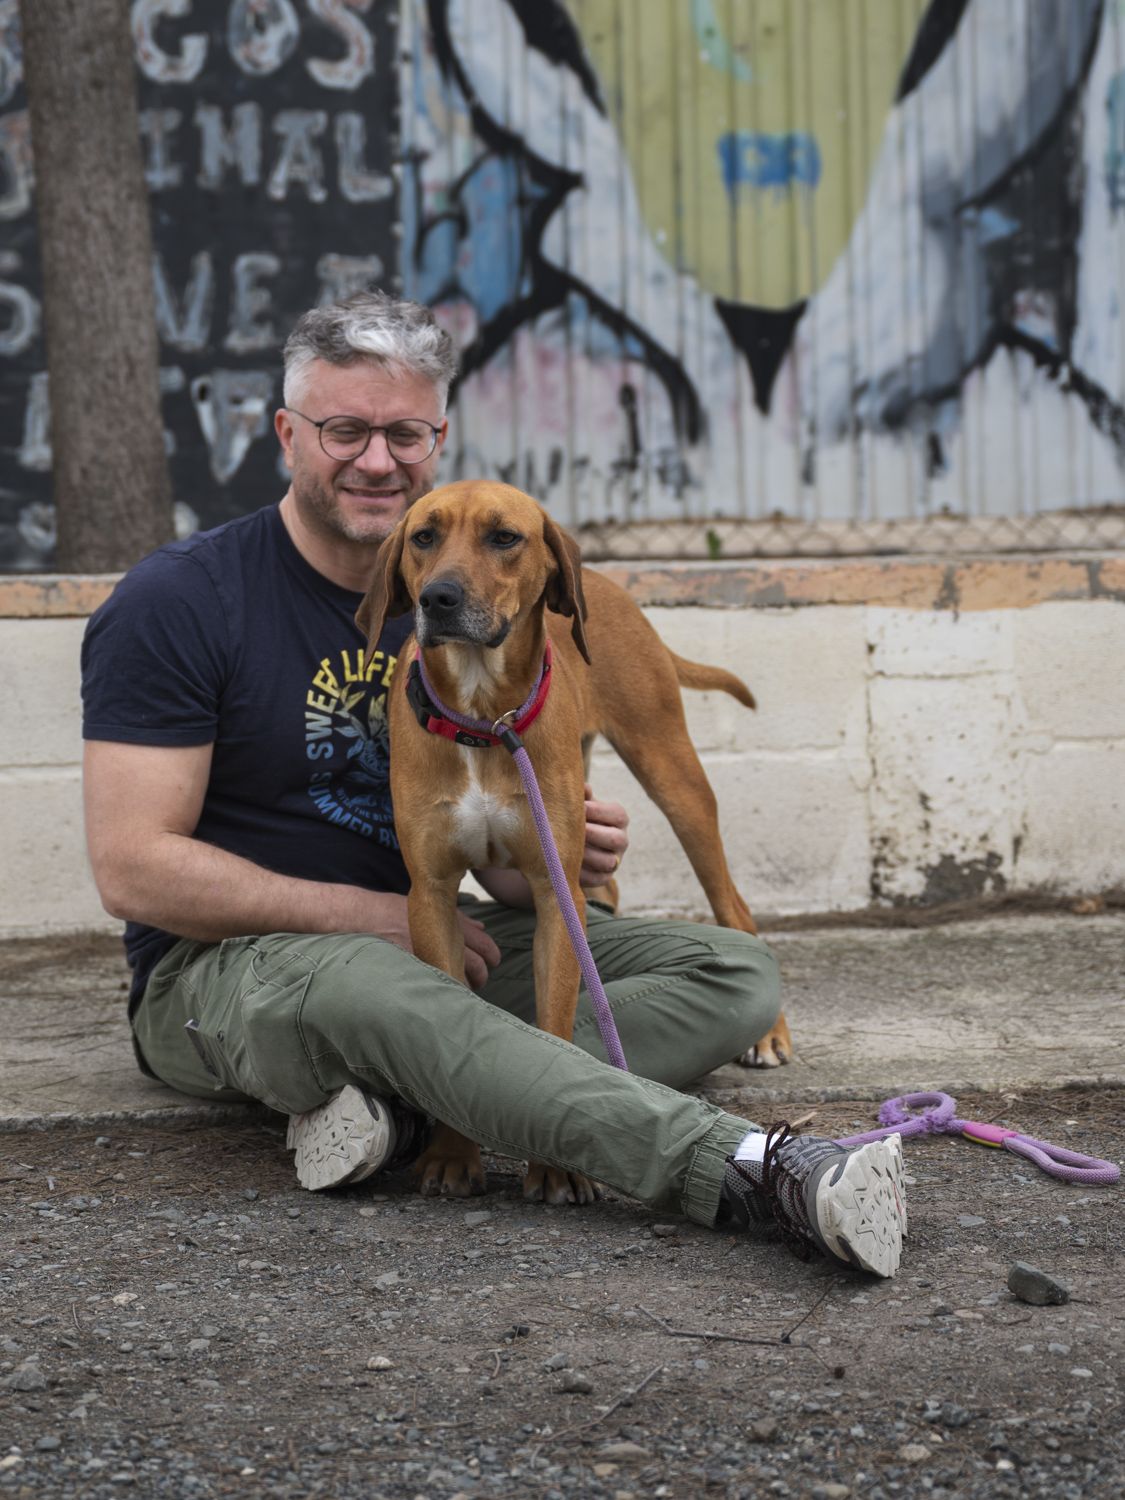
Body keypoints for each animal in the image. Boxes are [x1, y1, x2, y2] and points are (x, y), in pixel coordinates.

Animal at [356, 480, 792, 1203]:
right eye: (423, 536)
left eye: (504, 537)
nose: (437, 598)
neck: (485, 718)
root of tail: (609, 586)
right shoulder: (432, 895)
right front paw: (451, 1154)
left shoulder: (553, 893)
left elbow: (555, 1025)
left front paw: (555, 1166)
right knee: (614, 881)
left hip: (673, 775)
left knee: (734, 906)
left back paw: (769, 1033)